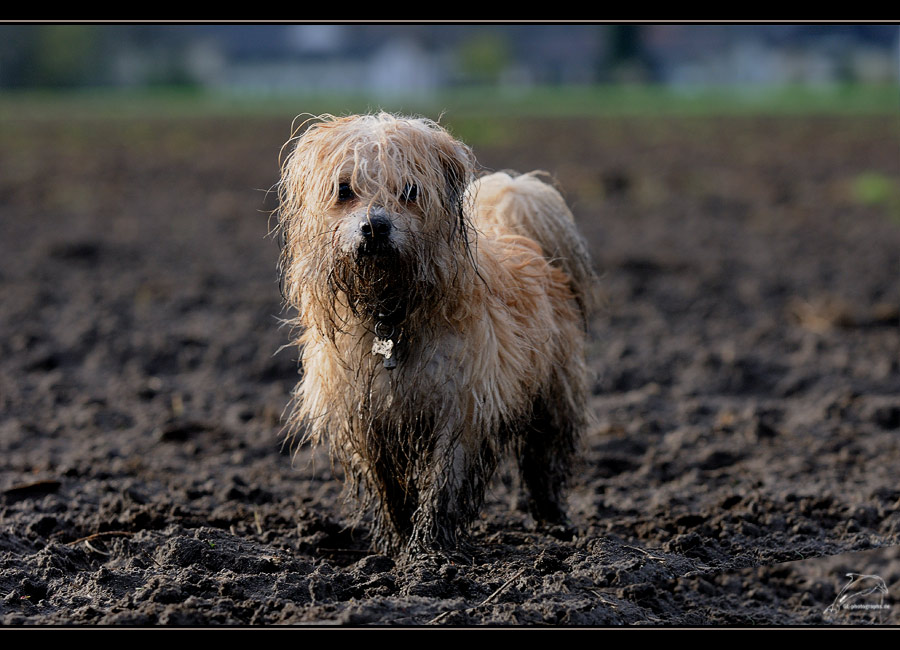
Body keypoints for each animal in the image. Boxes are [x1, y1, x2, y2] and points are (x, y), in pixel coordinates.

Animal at [278, 112, 596, 552]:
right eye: (344, 189)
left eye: (409, 190)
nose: (374, 227)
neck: (390, 311)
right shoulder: (365, 416)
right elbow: (388, 487)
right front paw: (397, 543)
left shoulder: (463, 408)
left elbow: (445, 483)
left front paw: (427, 549)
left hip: (554, 395)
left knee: (545, 461)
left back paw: (554, 521)